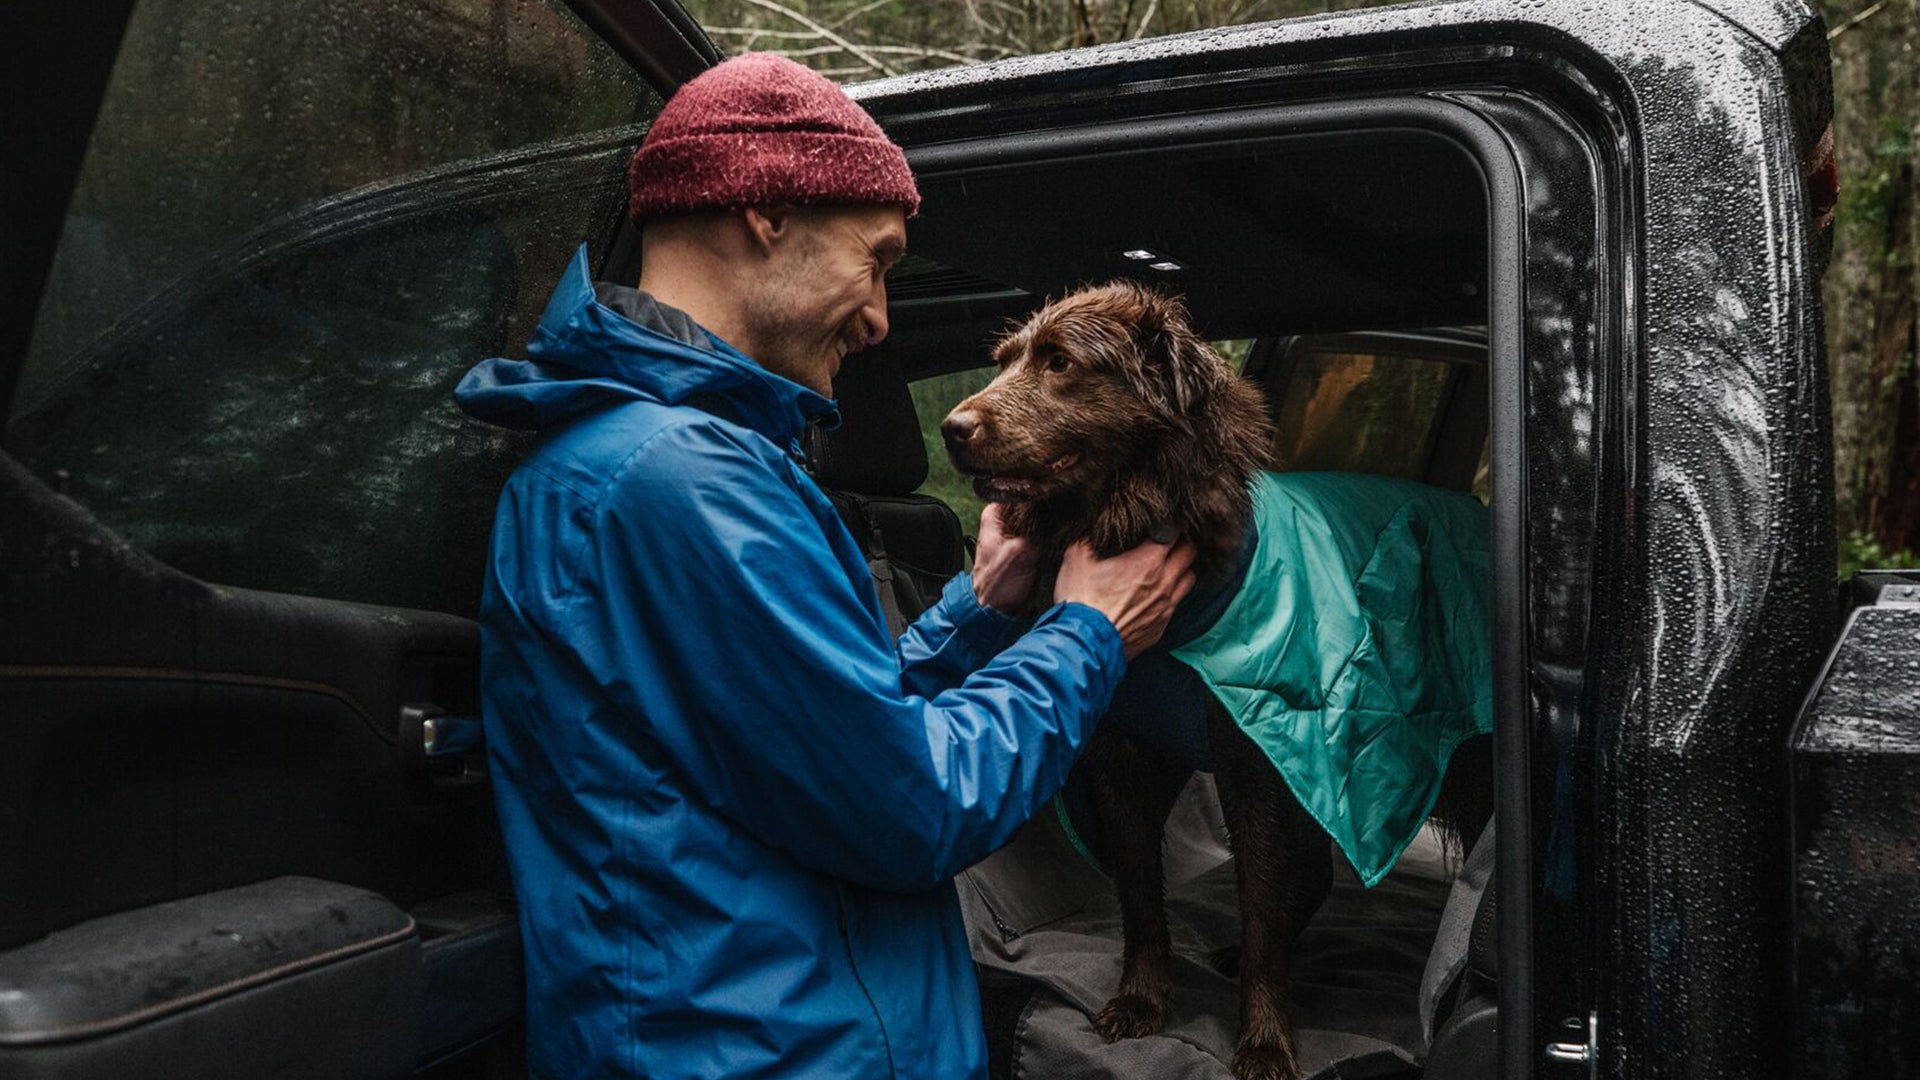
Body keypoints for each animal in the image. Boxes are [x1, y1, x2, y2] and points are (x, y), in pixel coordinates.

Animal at [940, 282, 1482, 1076]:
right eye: (1005, 360)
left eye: (1060, 362)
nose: (952, 429)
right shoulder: (1125, 756)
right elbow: (1142, 897)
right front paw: (1141, 1000)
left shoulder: (1261, 758)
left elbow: (1261, 909)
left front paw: (1264, 1039)